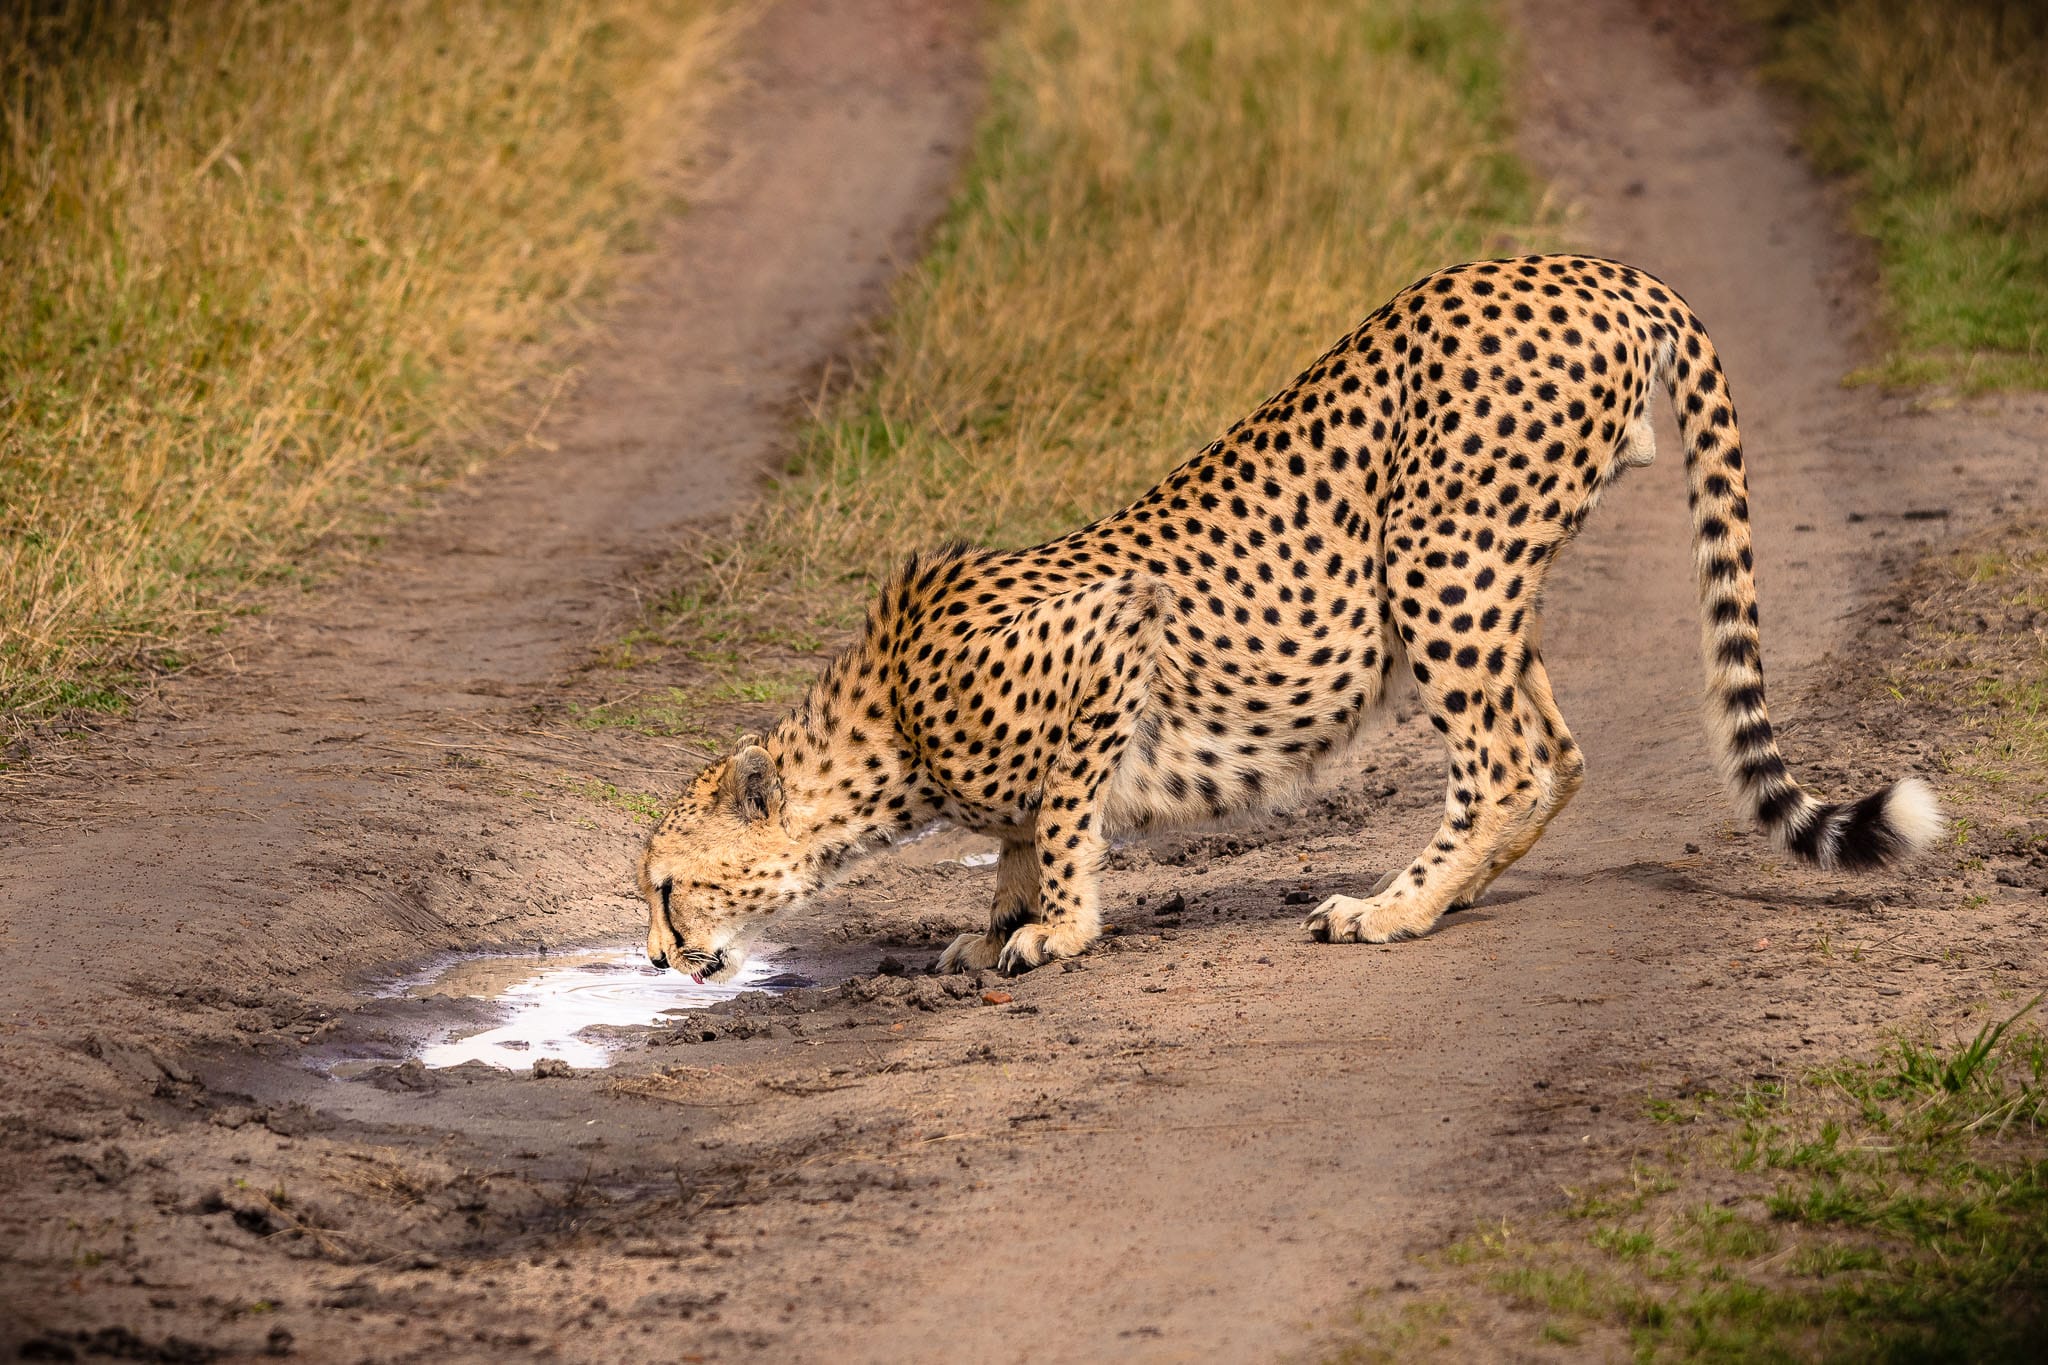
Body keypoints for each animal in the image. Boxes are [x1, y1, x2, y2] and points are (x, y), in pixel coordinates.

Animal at [638, 254, 1941, 983]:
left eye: (662, 886)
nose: (657, 957)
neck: (885, 732)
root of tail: (1590, 267)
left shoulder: (1108, 646)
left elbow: (1056, 821)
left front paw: (1053, 931)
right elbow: (1015, 834)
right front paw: (992, 921)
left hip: (1435, 557)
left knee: (1506, 762)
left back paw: (1392, 908)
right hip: (1482, 575)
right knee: (1558, 752)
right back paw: (1453, 893)